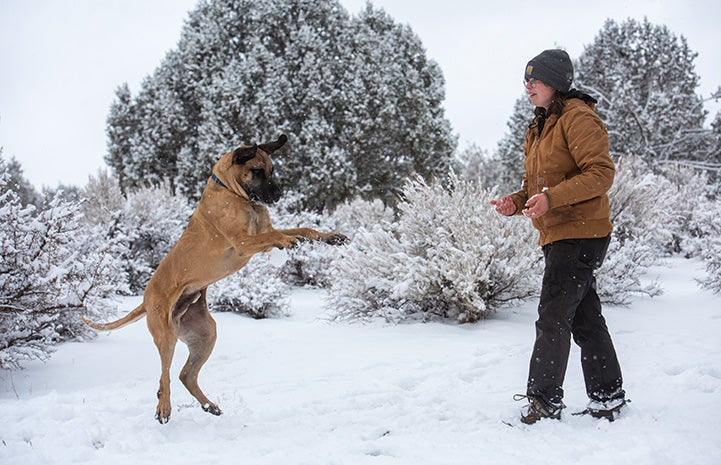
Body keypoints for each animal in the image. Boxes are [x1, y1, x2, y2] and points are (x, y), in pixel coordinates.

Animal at [81, 135, 346, 424]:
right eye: (257, 171)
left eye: (273, 170)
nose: (278, 195)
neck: (236, 195)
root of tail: (146, 299)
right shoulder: (243, 242)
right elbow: (275, 236)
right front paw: (290, 240)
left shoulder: (263, 231)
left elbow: (304, 229)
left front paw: (330, 237)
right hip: (165, 335)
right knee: (165, 378)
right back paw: (164, 408)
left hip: (205, 334)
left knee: (185, 375)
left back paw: (209, 405)